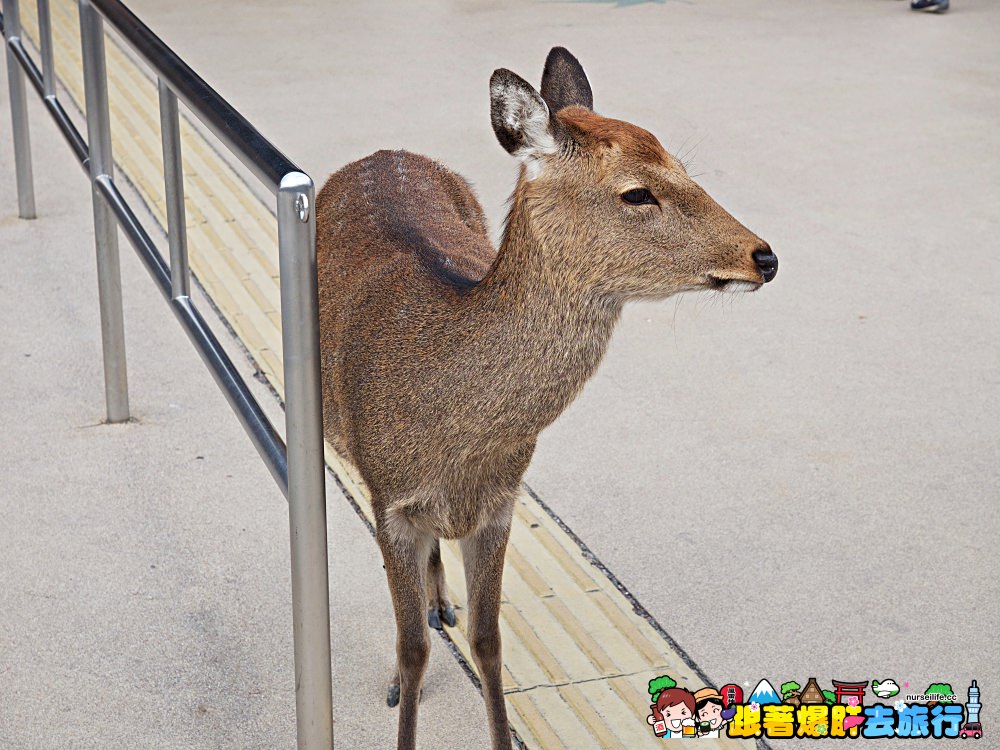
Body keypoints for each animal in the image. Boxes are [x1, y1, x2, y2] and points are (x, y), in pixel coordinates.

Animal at [316, 48, 776, 750]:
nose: (765, 256)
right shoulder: (389, 500)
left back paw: (440, 601)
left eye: (682, 167)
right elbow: (412, 648)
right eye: (637, 191)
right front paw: (402, 691)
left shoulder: (502, 502)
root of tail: (385, 150)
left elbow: (489, 641)